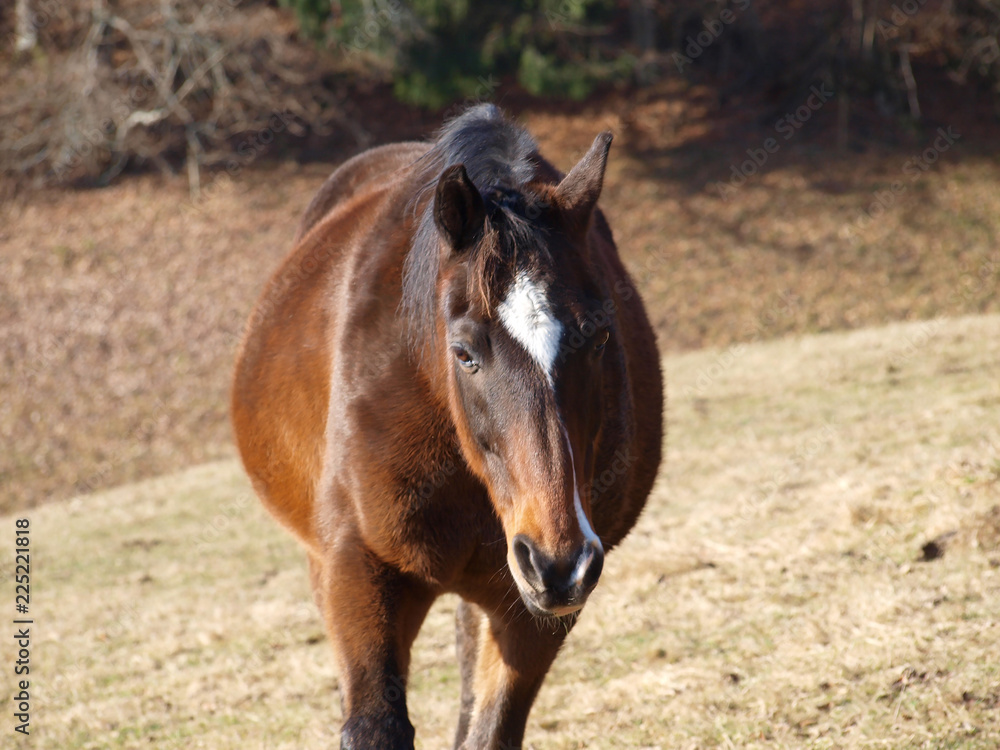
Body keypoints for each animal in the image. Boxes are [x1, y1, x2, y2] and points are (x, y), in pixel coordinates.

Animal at [231, 104, 663, 749]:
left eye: (599, 336)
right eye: (463, 352)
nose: (559, 561)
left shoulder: (529, 612)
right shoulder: (357, 569)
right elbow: (374, 725)